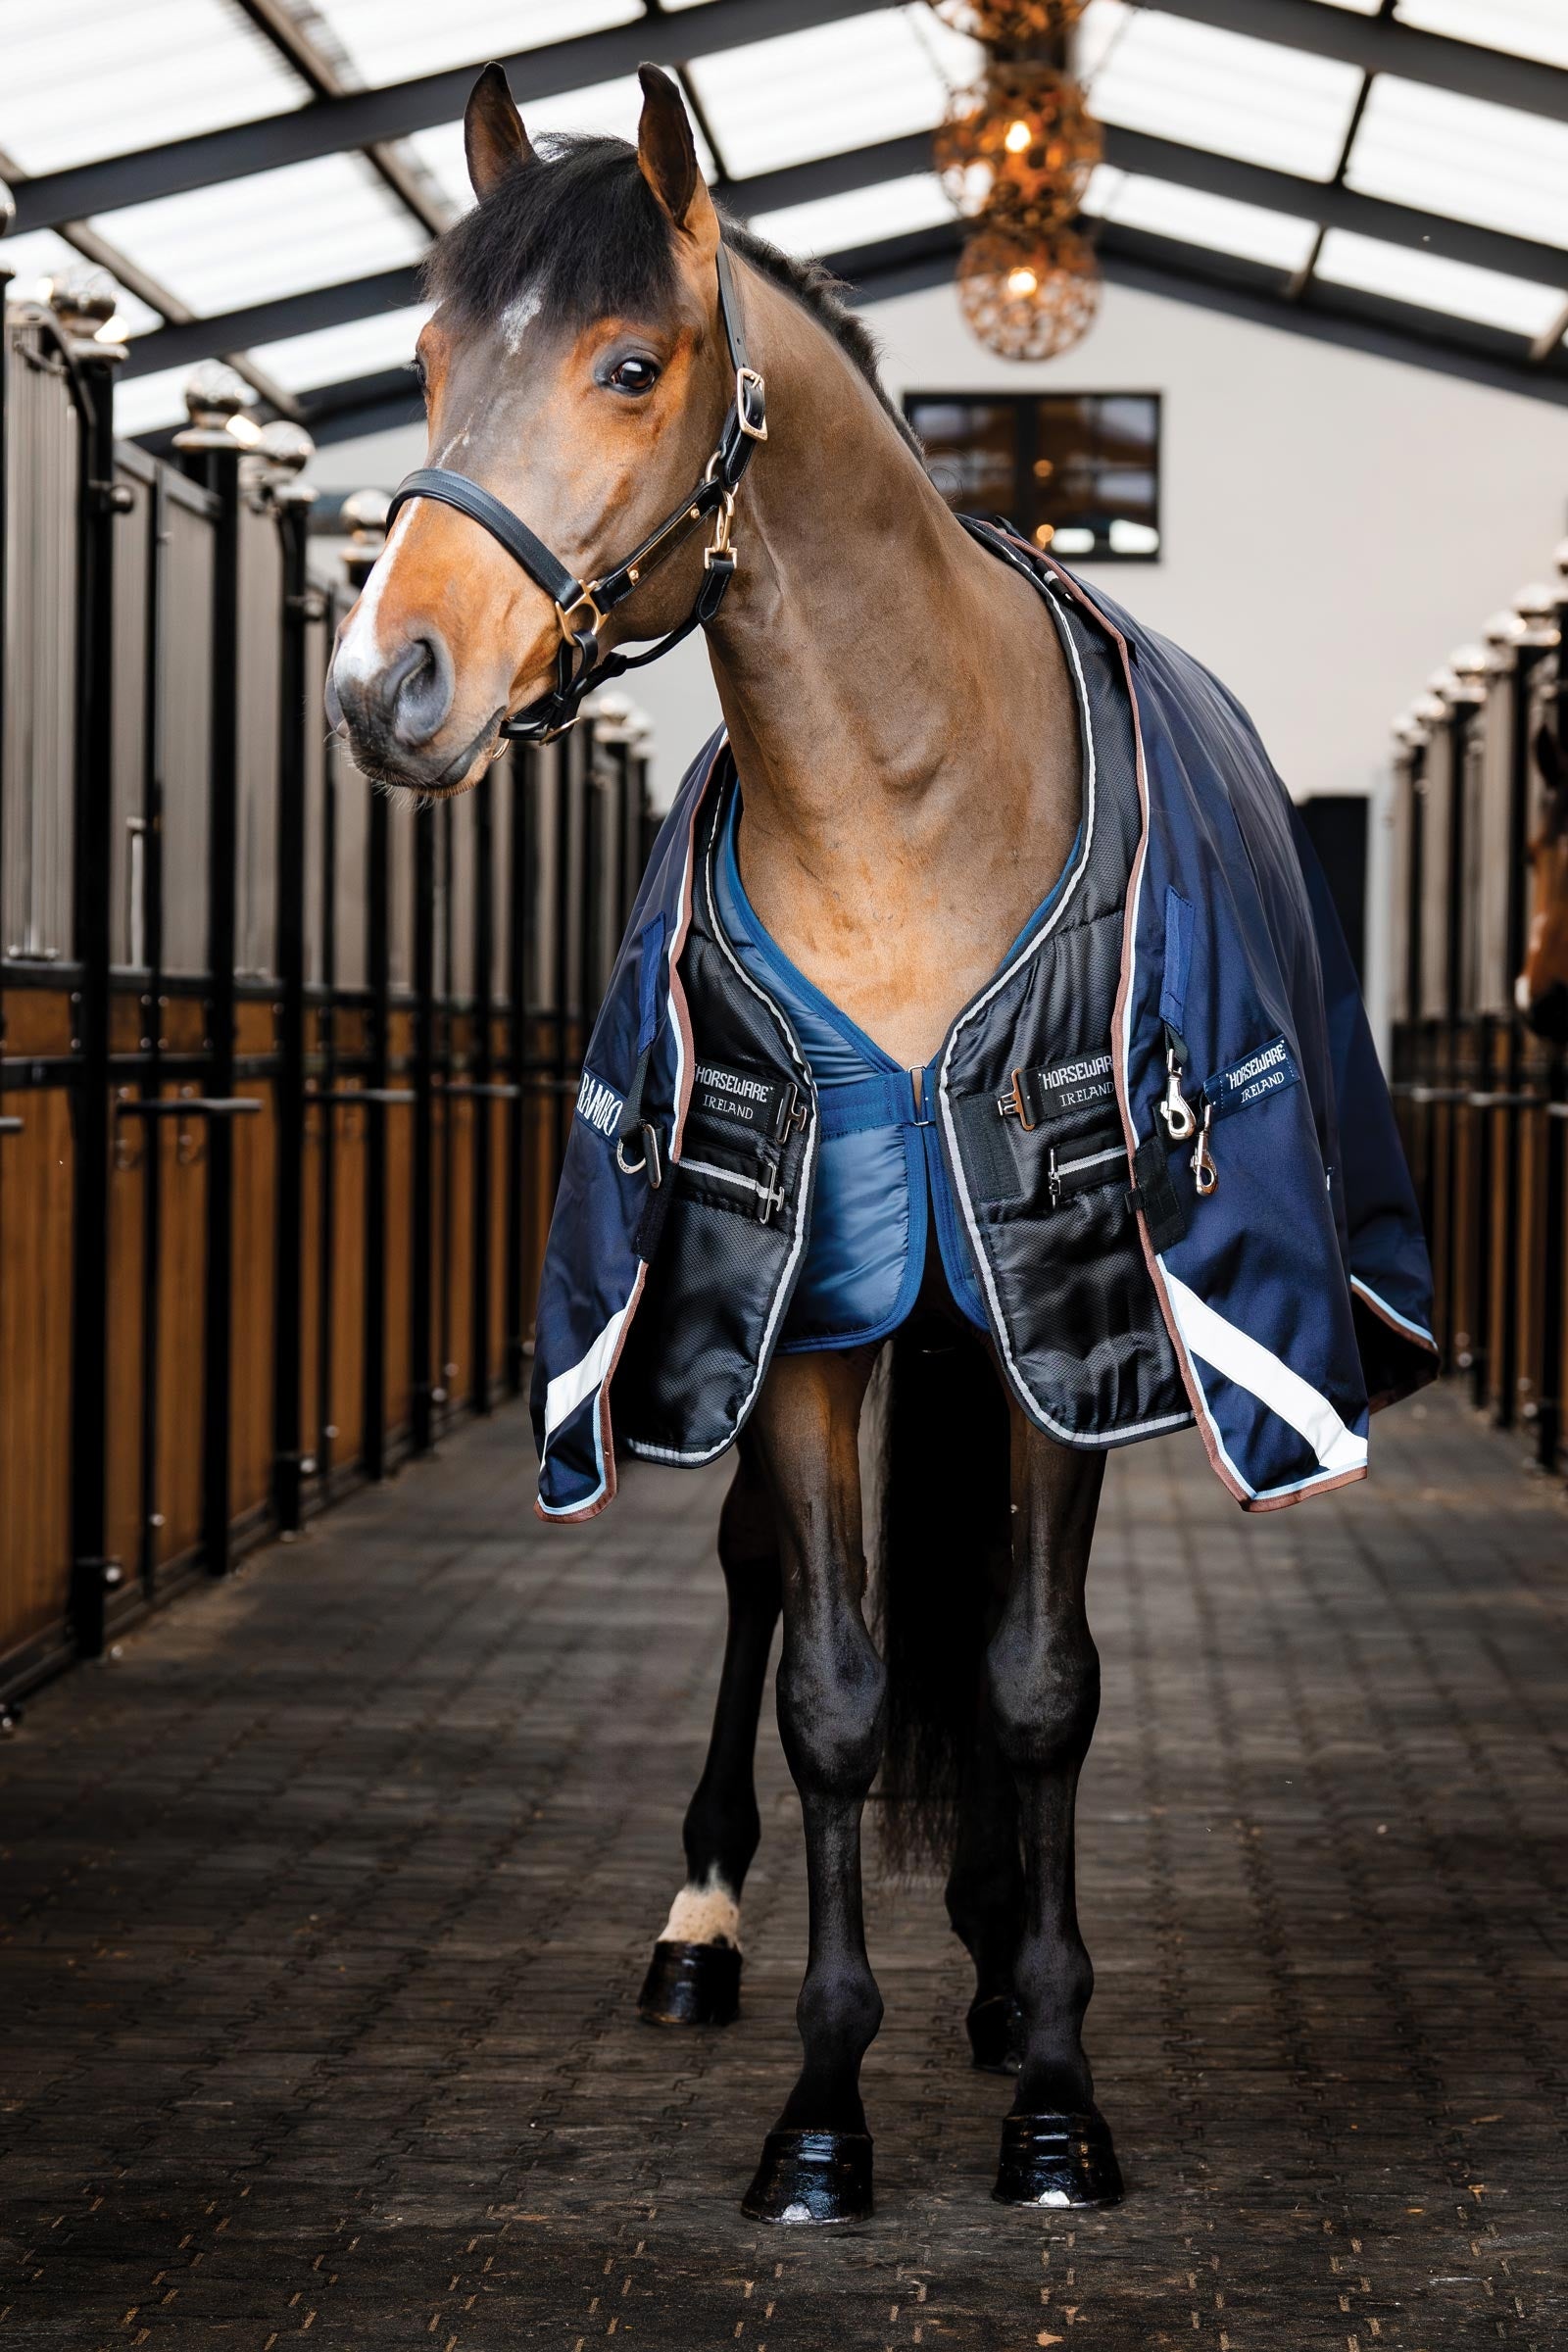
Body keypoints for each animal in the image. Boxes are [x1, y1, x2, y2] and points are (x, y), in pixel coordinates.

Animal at [326, 61, 1433, 2223]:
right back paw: (703, 1926)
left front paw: (1057, 2106)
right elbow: (836, 1692)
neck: (907, 803)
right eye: (420, 362)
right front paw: (822, 2123)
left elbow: (1033, 1680)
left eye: (629, 363)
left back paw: (1004, 1967)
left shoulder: (1062, 1322)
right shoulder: (804, 1319)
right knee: (767, 1590)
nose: (382, 684)